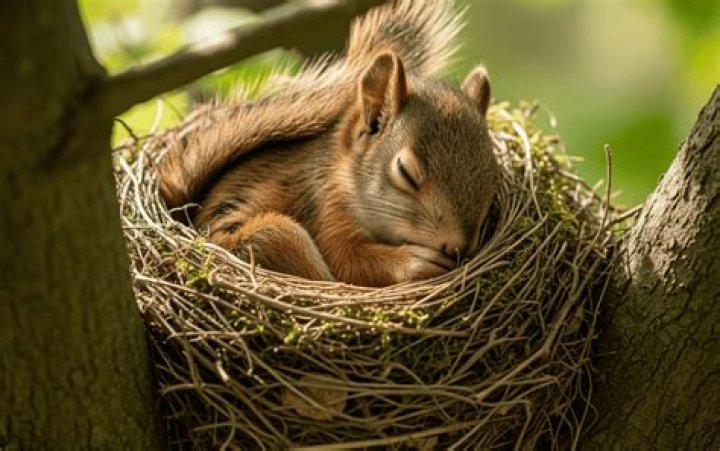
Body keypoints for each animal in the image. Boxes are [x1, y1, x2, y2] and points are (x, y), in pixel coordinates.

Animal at [157, 0, 501, 287]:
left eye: (492, 175)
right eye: (405, 171)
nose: (457, 247)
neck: (345, 177)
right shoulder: (326, 208)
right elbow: (347, 261)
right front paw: (414, 262)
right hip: (276, 236)